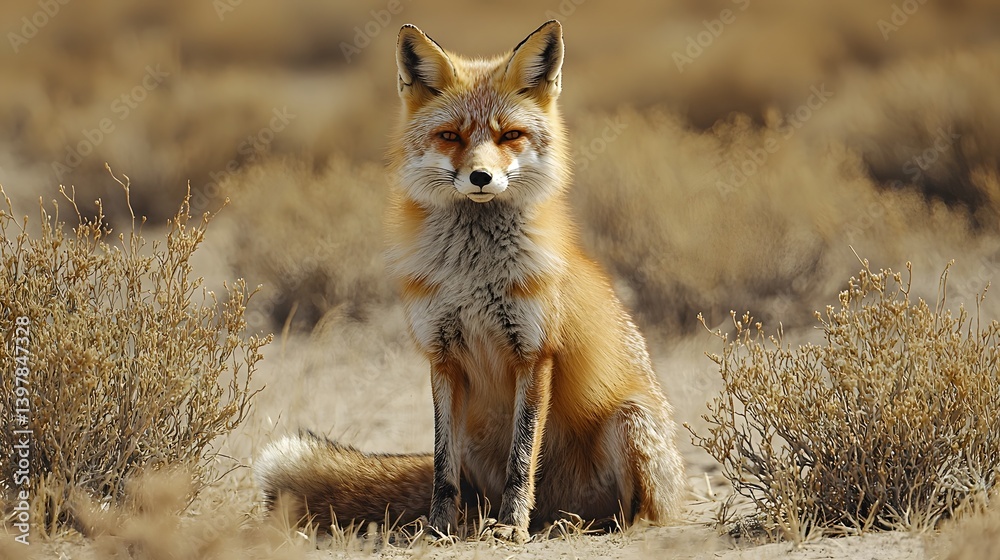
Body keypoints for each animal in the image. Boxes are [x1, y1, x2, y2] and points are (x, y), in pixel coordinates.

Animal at [254, 20, 685, 543]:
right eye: (450, 136)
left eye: (510, 135)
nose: (481, 177)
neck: (474, 276)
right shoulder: (442, 357)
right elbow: (443, 467)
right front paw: (438, 527)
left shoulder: (534, 354)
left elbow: (522, 457)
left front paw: (513, 526)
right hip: (481, 447)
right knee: (475, 489)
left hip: (631, 419)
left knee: (638, 513)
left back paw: (576, 525)